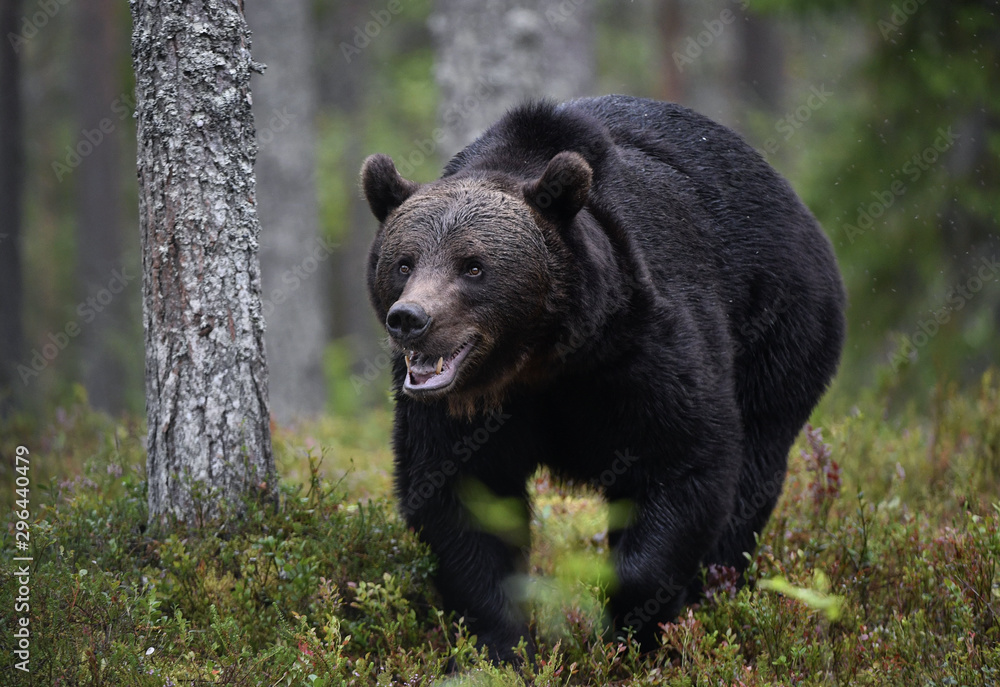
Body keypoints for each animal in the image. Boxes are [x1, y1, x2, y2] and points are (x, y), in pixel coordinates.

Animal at [360, 94, 845, 664]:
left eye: (473, 266)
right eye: (403, 262)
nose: (410, 318)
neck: (541, 360)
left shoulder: (642, 352)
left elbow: (683, 461)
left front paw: (633, 626)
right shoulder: (461, 415)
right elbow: (461, 499)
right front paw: (500, 647)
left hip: (782, 326)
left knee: (754, 469)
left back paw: (715, 590)